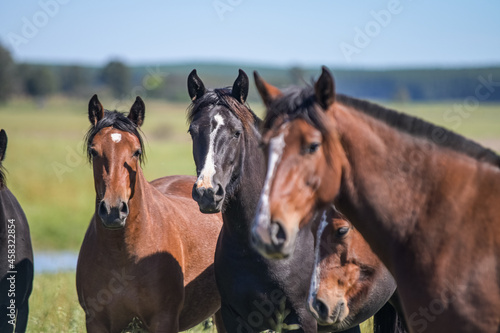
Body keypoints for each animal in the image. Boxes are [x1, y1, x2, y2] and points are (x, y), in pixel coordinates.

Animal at [76, 94, 225, 330]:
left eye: (136, 151)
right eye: (94, 150)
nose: (113, 210)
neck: (123, 256)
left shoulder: (163, 320)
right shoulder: (96, 322)